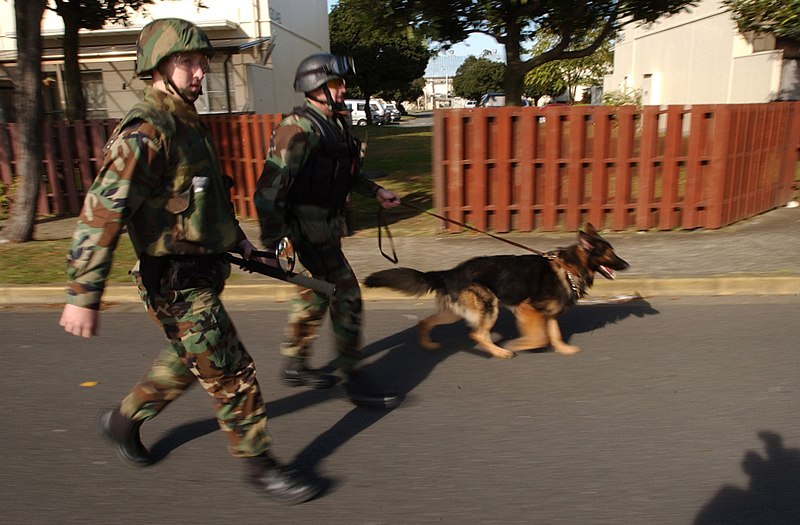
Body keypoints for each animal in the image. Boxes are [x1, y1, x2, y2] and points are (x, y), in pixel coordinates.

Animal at [364, 223, 632, 358]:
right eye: (611, 254)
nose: (627, 265)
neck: (569, 267)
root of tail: (450, 272)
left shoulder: (549, 314)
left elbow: (554, 334)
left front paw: (564, 349)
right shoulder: (526, 309)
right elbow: (541, 337)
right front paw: (521, 345)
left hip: (453, 312)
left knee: (425, 322)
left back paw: (428, 345)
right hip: (489, 306)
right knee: (477, 334)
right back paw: (501, 352)